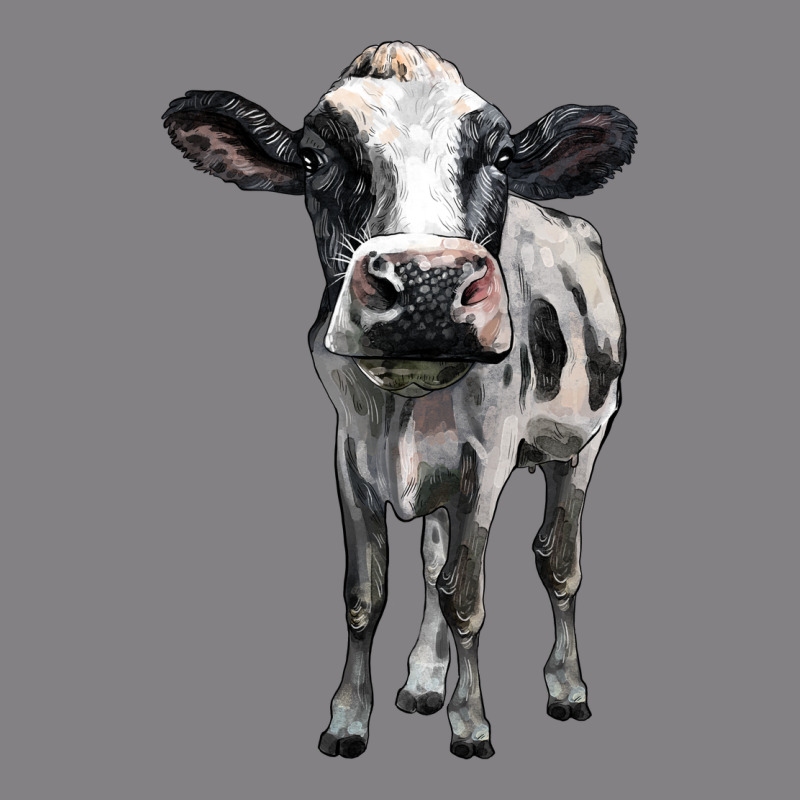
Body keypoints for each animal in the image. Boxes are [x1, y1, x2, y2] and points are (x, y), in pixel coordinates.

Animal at [163, 41, 636, 760]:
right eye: (313, 157)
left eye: (501, 156)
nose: (426, 285)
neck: (405, 406)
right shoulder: (350, 454)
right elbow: (367, 594)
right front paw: (348, 720)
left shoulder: (487, 461)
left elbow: (466, 598)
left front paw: (470, 724)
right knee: (434, 562)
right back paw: (422, 683)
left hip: (582, 445)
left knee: (557, 562)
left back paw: (566, 687)